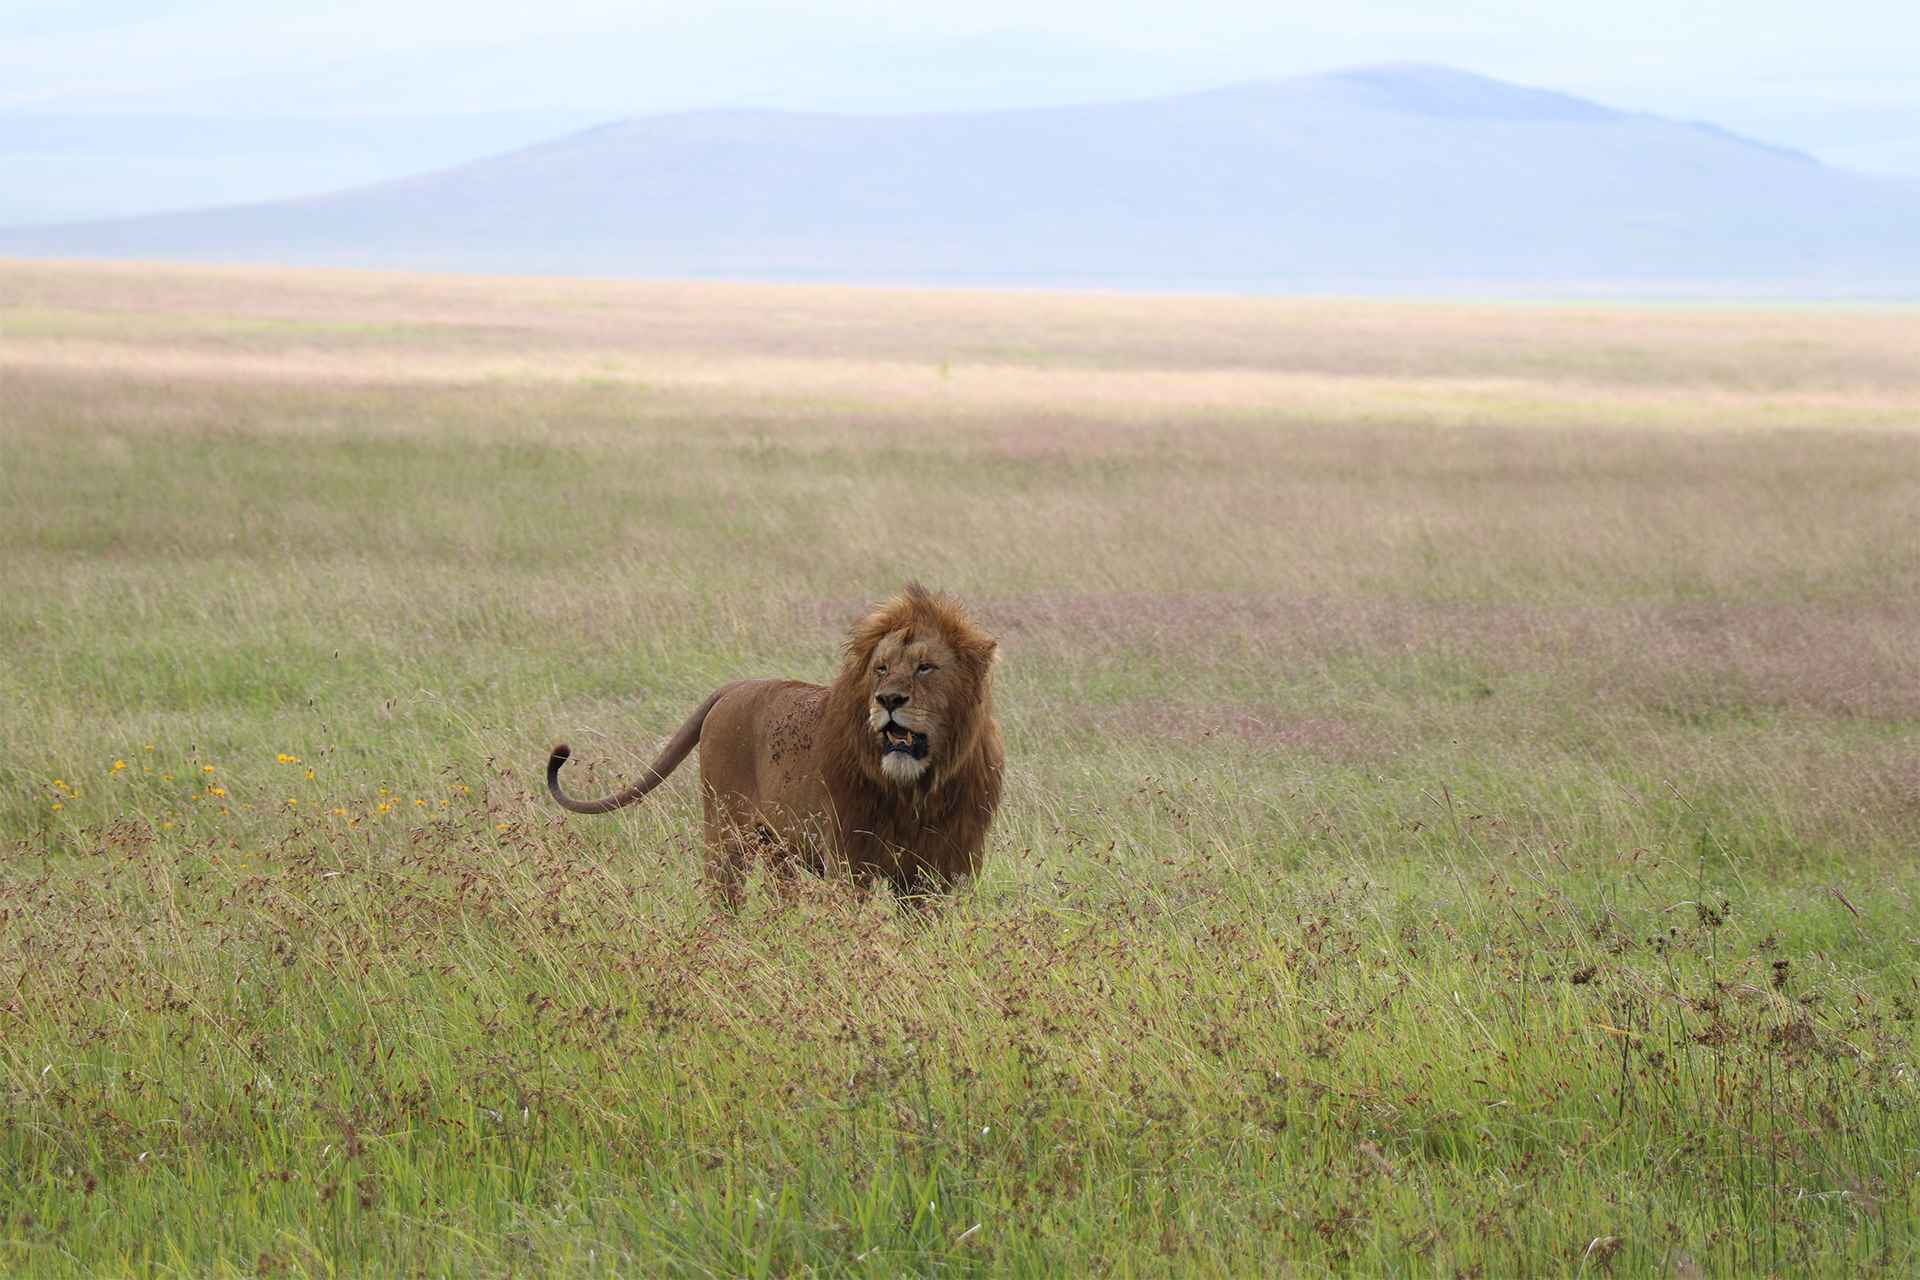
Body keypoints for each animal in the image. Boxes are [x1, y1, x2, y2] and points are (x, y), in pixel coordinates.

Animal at [546, 585, 1004, 903]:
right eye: (881, 668)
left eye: (926, 667)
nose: (888, 699)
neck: (916, 790)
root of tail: (735, 687)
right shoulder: (849, 861)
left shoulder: (934, 869)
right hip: (725, 832)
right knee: (724, 898)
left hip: (778, 848)